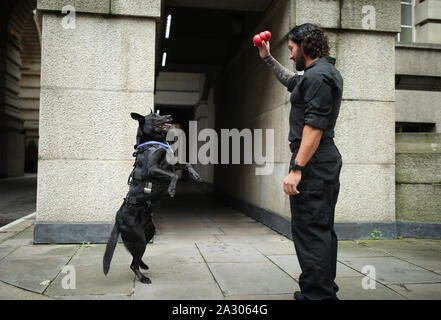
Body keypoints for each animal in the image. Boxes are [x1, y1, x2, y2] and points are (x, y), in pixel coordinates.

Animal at [102, 111, 200, 284]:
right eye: (154, 116)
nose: (169, 116)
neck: (154, 142)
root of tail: (117, 220)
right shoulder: (153, 169)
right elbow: (174, 175)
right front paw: (172, 189)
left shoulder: (171, 164)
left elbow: (185, 163)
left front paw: (195, 174)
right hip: (139, 238)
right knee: (132, 264)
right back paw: (142, 278)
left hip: (149, 232)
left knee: (135, 257)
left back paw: (143, 265)